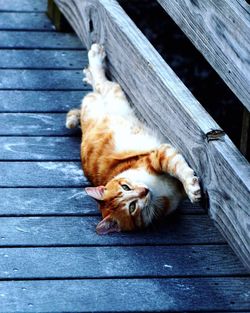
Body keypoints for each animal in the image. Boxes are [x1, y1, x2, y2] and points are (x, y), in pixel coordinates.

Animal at [66, 43, 201, 234]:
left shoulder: (159, 156)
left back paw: (94, 59)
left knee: (98, 82)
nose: (144, 191)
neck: (159, 193)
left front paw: (191, 187)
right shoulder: (162, 157)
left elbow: (178, 168)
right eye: (132, 207)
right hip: (112, 93)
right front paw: (192, 187)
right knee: (99, 83)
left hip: (112, 93)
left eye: (125, 187)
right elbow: (179, 168)